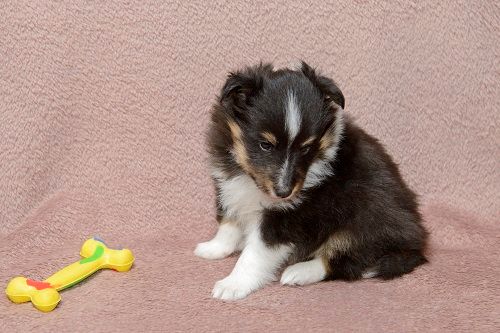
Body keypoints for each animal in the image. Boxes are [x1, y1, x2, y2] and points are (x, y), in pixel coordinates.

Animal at [193, 61, 428, 300]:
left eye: (306, 148)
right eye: (265, 145)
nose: (284, 192)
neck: (251, 179)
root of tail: (416, 244)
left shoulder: (287, 217)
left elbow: (255, 253)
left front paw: (233, 284)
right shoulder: (228, 185)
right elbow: (228, 222)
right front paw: (214, 248)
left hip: (366, 220)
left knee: (347, 262)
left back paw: (298, 272)